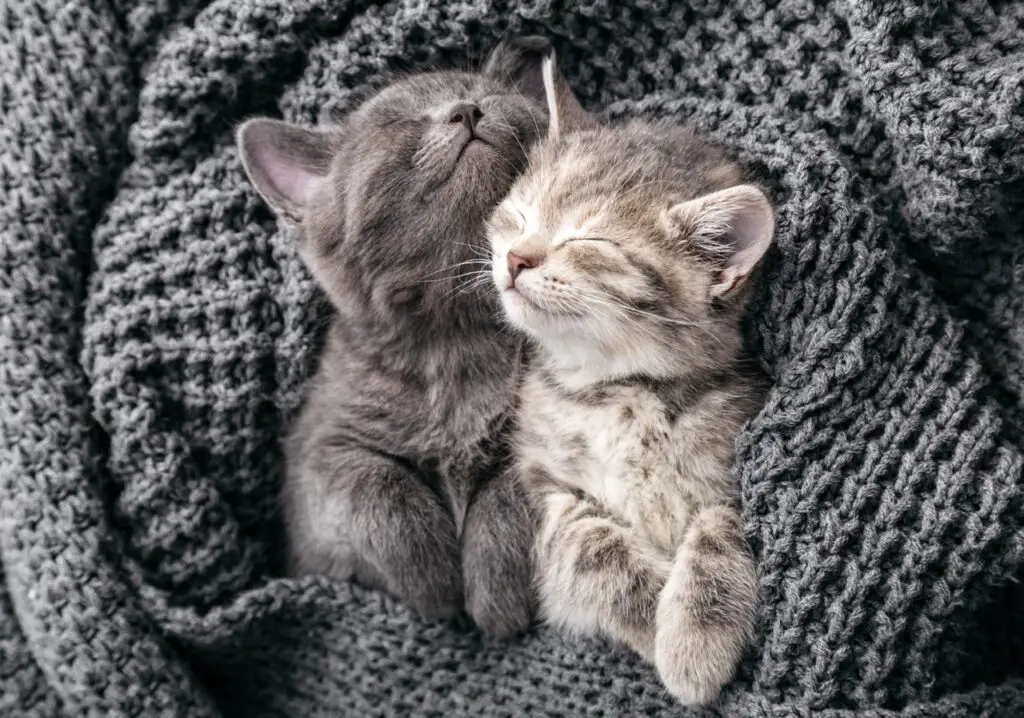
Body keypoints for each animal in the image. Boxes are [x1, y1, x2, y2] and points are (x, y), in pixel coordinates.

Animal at [234, 36, 552, 635]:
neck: (456, 339)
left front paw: (496, 593)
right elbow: (375, 486)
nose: (467, 109)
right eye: (396, 123)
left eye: (482, 93)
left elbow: (513, 485)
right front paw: (435, 586)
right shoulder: (318, 455)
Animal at [485, 54, 770, 700]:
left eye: (588, 241)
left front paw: (695, 638)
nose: (515, 258)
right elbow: (591, 547)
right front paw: (652, 618)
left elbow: (718, 525)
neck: (617, 389)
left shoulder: (733, 459)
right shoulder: (542, 483)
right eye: (517, 215)